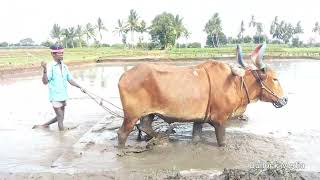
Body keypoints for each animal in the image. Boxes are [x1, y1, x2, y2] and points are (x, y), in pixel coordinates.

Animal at [117, 44, 288, 147]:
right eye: (275, 79)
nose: (285, 99)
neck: (235, 83)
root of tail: (124, 76)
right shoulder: (220, 121)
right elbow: (222, 142)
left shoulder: (199, 120)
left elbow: (197, 137)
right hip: (131, 116)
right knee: (122, 134)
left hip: (148, 113)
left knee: (145, 126)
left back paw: (161, 137)